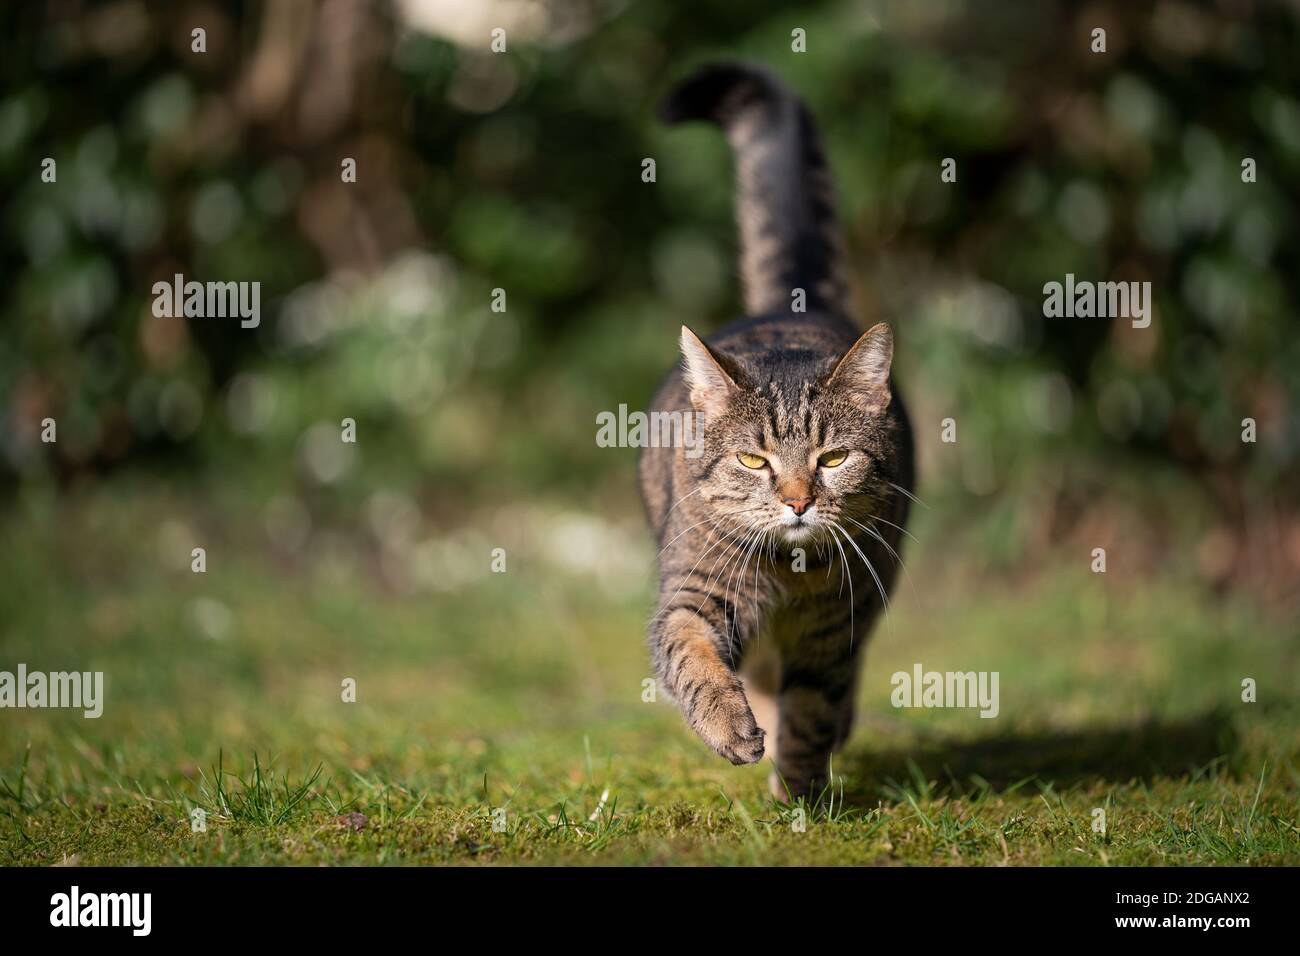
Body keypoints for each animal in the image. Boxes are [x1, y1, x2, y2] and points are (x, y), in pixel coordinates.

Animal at [639, 61, 915, 801]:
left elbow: (814, 710)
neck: (789, 577)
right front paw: (731, 726)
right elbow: (691, 653)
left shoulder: (836, 627)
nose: (798, 501)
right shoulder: (694, 592)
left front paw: (802, 793)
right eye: (753, 461)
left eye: (834, 457)